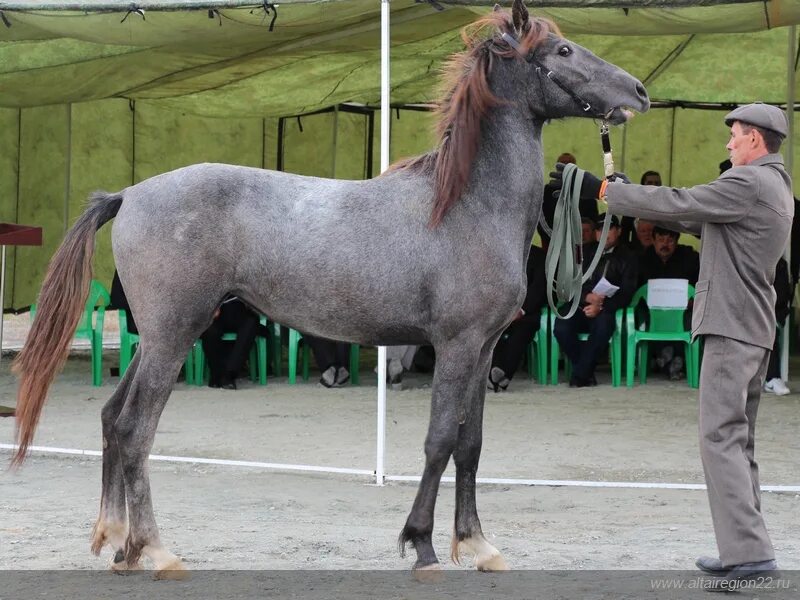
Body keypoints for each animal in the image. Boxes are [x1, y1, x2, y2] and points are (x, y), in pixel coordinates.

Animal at [12, 1, 648, 580]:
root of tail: (127, 195)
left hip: (154, 338)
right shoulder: (457, 345)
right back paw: (158, 551)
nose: (639, 92)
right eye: (562, 51)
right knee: (134, 430)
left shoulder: (486, 346)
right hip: (172, 337)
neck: (465, 206)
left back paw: (119, 545)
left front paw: (479, 545)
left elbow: (471, 445)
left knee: (111, 419)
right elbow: (440, 440)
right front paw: (421, 544)